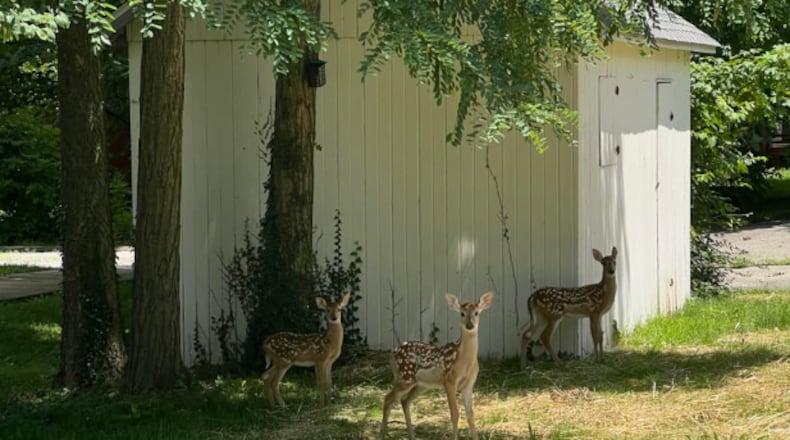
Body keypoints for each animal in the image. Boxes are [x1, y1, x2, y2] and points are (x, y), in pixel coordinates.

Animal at [380, 291, 495, 440]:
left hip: (421, 384)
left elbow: (471, 415)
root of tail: (392, 352)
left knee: (405, 401)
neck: (465, 362)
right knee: (388, 399)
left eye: (476, 313)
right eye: (462, 313)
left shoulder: (469, 384)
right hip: (405, 377)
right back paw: (382, 434)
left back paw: (412, 436)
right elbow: (454, 413)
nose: (470, 325)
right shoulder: (449, 380)